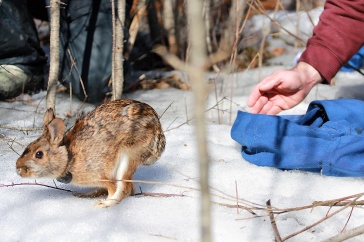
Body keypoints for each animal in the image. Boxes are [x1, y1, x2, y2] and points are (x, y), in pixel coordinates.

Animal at [16, 99, 166, 208]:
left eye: (39, 154)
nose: (18, 169)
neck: (68, 157)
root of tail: (158, 132)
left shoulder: (103, 175)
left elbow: (113, 188)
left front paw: (105, 203)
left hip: (128, 157)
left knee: (125, 188)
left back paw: (104, 203)